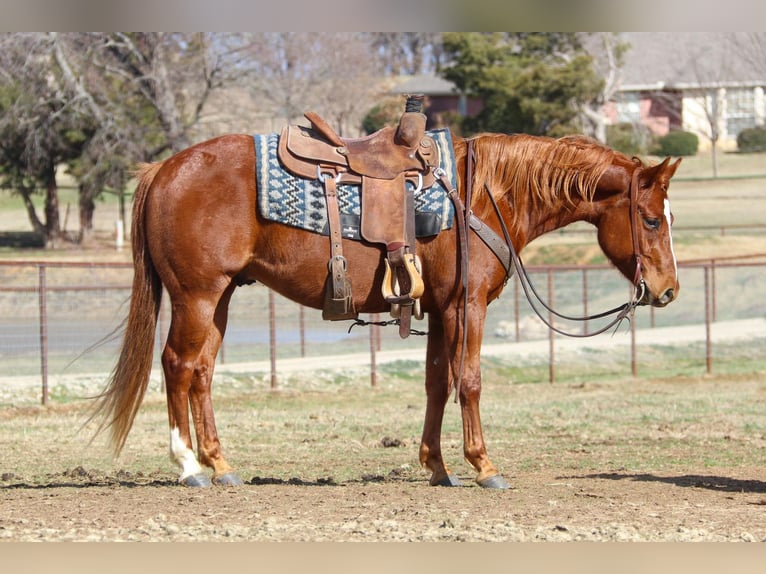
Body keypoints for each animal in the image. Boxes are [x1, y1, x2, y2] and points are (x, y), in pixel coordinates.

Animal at [91, 129, 684, 490]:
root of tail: (164, 168)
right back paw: (189, 466)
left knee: (202, 373)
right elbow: (470, 381)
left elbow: (437, 384)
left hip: (221, 298)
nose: (668, 290)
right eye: (652, 219)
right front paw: (484, 465)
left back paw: (221, 464)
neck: (485, 194)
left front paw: (437, 467)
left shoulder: (442, 309)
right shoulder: (467, 306)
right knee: (177, 366)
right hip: (196, 295)